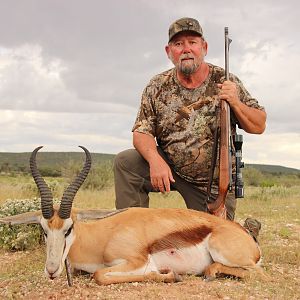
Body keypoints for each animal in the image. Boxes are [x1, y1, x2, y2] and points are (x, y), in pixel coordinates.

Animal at [0, 146, 264, 284]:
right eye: (44, 230)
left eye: (69, 228)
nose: (52, 270)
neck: (102, 237)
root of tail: (248, 238)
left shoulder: (136, 261)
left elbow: (99, 275)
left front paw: (170, 274)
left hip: (227, 255)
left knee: (253, 272)